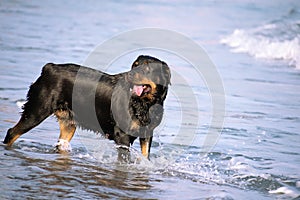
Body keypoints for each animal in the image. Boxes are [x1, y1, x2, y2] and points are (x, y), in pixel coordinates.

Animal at [2, 55, 171, 159]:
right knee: (12, 132)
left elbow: (145, 156)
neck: (143, 103)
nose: (129, 75)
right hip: (37, 110)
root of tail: (49, 68)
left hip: (68, 123)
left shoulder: (147, 133)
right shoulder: (121, 134)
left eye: (147, 69)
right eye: (134, 66)